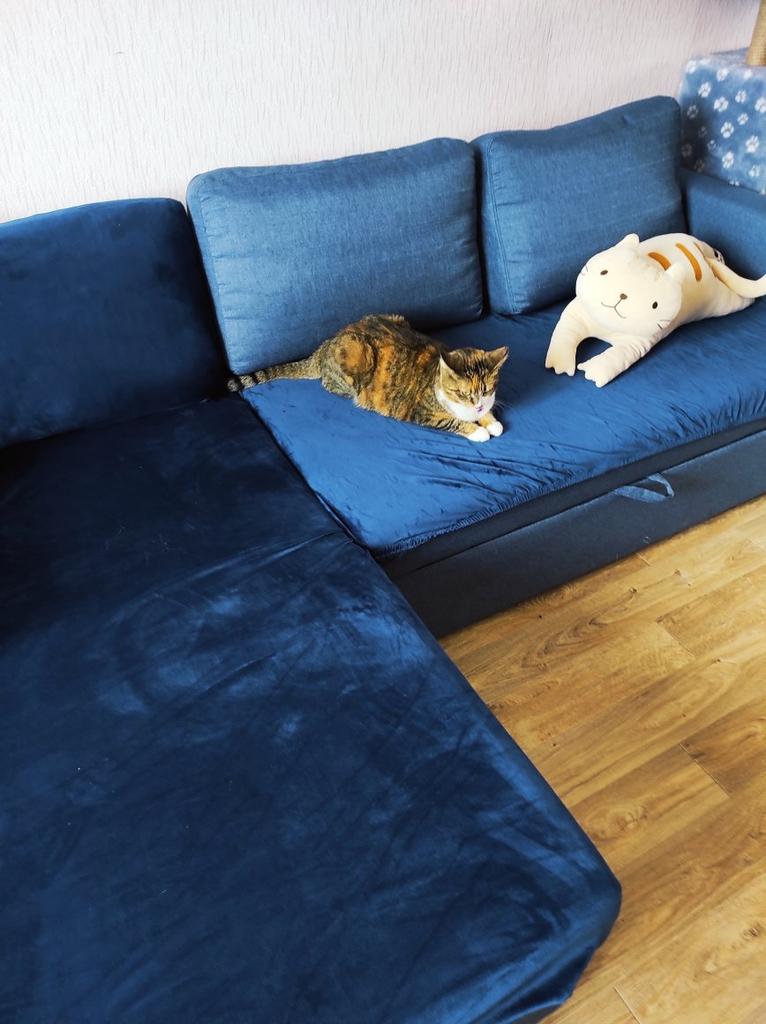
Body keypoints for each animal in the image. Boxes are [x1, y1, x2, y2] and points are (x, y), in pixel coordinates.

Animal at [228, 314, 508, 442]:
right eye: (462, 393)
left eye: (486, 390)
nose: (477, 405)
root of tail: (325, 345)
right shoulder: (421, 412)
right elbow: (452, 421)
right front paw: (478, 430)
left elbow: (488, 412)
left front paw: (491, 422)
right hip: (355, 355)